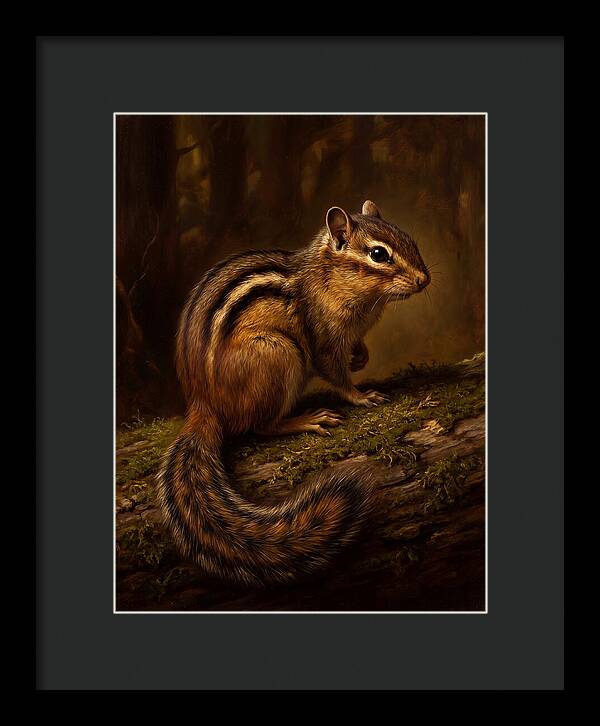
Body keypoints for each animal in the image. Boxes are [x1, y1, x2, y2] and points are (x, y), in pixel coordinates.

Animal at [157, 200, 431, 586]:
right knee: (260, 426)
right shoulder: (323, 339)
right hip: (279, 354)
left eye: (409, 239)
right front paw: (361, 396)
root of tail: (204, 404)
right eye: (379, 254)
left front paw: (361, 357)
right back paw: (307, 420)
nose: (425, 279)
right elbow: (335, 374)